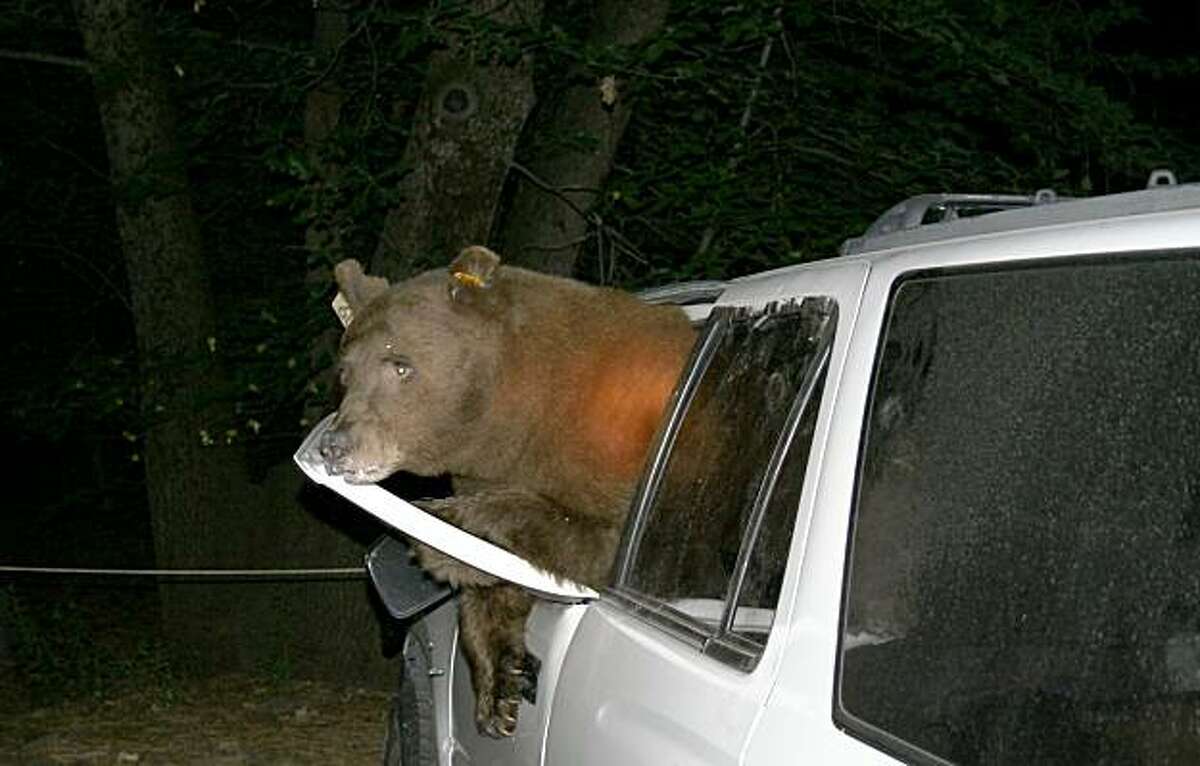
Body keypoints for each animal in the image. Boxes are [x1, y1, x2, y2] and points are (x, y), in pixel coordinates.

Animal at [319, 245, 696, 736]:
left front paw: (443, 529)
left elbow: (608, 541)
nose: (335, 446)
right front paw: (499, 687)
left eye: (401, 365)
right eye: (344, 373)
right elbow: (497, 585)